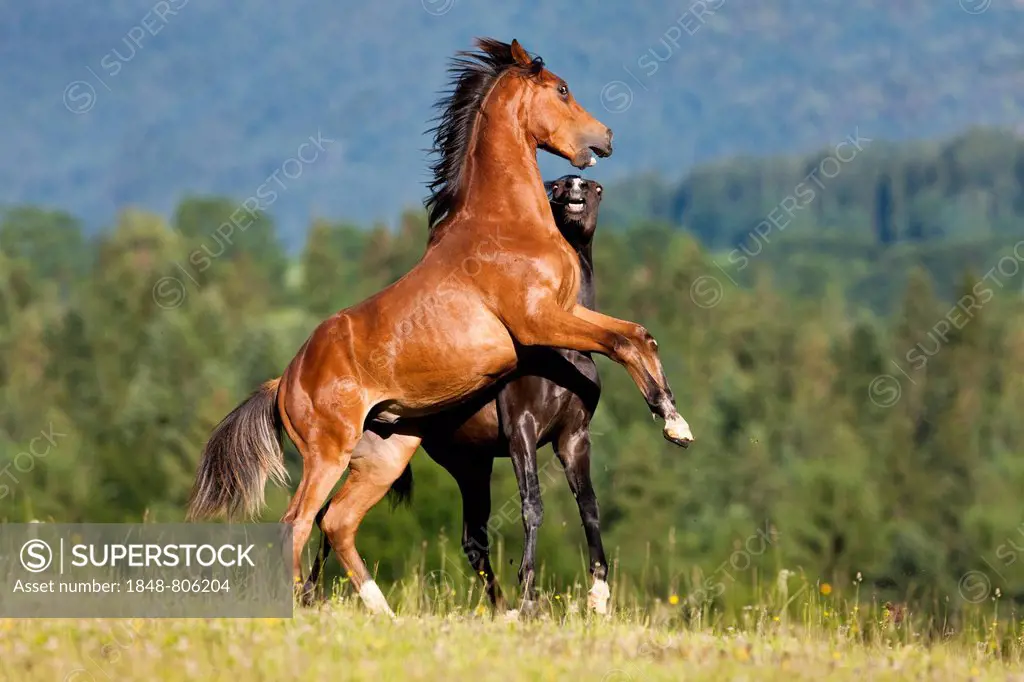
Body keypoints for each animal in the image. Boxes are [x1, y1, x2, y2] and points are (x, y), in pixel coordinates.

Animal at [303, 174, 606, 610]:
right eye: (558, 186)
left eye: (594, 188)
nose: (572, 188)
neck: (563, 354)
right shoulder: (523, 430)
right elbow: (532, 506)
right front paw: (529, 596)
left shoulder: (573, 437)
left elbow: (589, 506)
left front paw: (600, 594)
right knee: (328, 514)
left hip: (470, 465)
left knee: (470, 540)